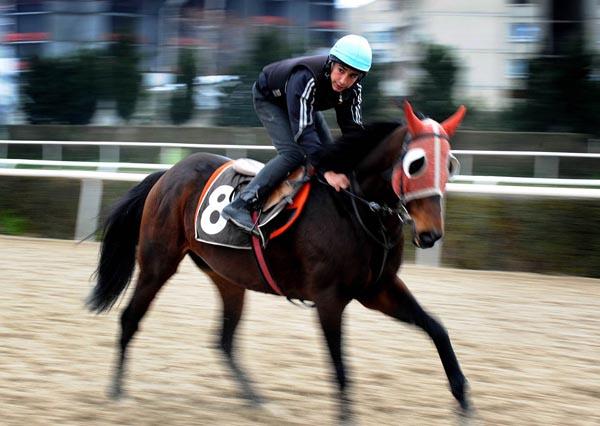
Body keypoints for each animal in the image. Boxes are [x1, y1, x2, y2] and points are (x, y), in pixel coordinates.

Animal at [86, 100, 472, 422]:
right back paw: (116, 391)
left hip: (227, 277)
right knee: (130, 318)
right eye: (417, 163)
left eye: (449, 164)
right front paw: (346, 416)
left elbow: (436, 327)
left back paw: (256, 400)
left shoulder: (378, 288)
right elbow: (340, 365)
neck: (355, 206)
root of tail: (167, 174)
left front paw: (463, 398)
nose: (430, 234)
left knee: (224, 340)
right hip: (158, 263)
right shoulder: (329, 298)